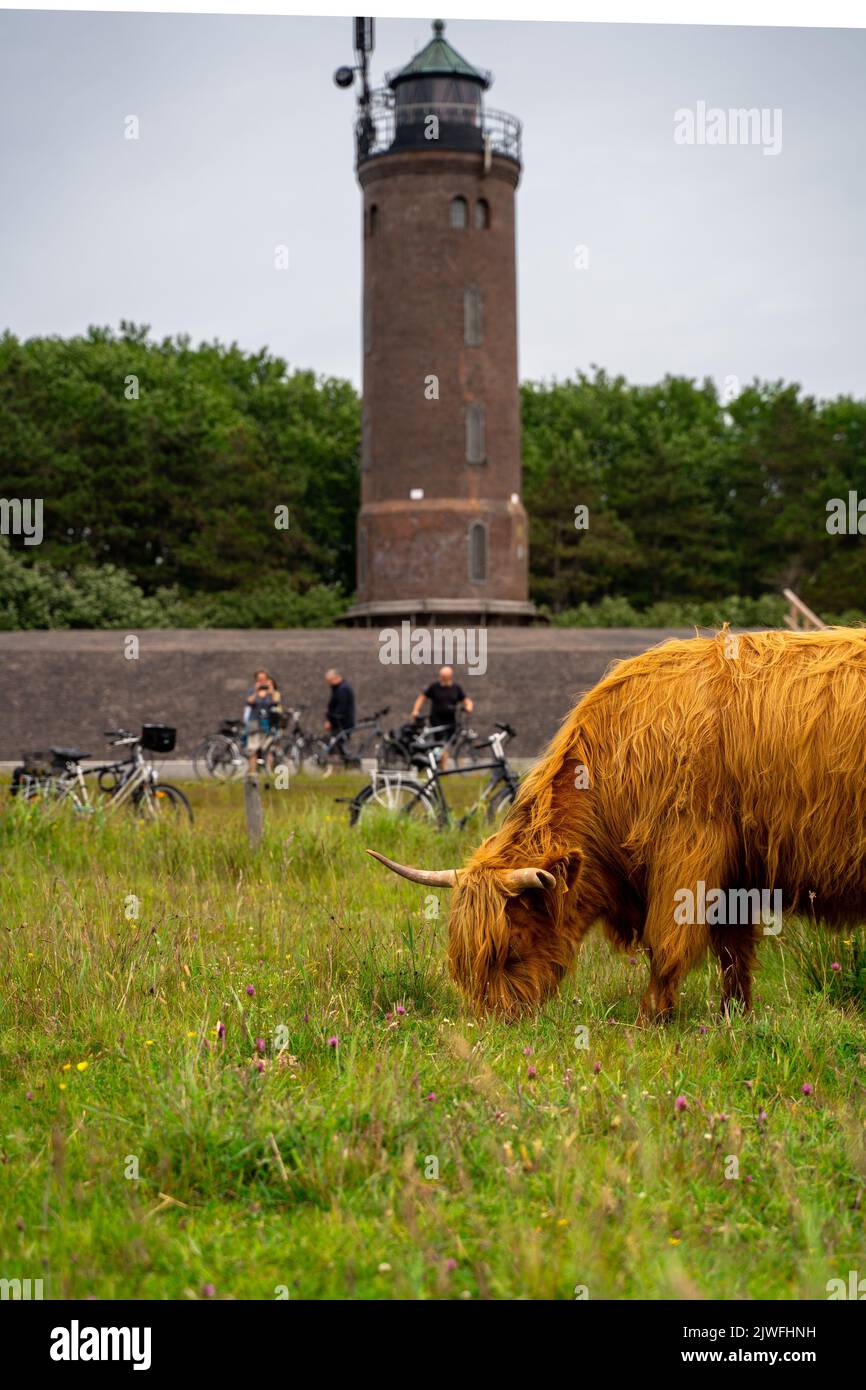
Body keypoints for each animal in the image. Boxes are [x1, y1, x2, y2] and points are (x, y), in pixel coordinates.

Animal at [369, 627, 866, 1021]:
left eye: (510, 949)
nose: (493, 1022)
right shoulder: (736, 870)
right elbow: (734, 953)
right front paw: (734, 1018)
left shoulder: (689, 850)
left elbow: (667, 944)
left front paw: (650, 1020)